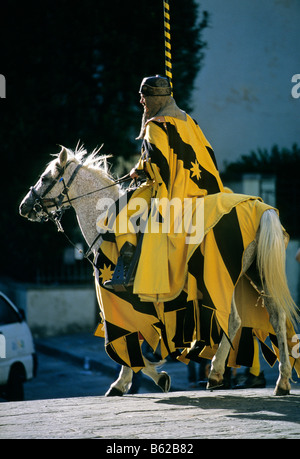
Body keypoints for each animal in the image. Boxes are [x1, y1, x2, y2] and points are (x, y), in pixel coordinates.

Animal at [19, 146, 298, 396]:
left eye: (45, 178)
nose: (24, 206)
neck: (106, 218)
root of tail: (261, 208)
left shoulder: (121, 298)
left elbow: (129, 336)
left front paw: (136, 380)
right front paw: (147, 376)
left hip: (220, 278)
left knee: (234, 321)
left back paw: (217, 373)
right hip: (255, 274)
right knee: (277, 317)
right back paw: (281, 381)